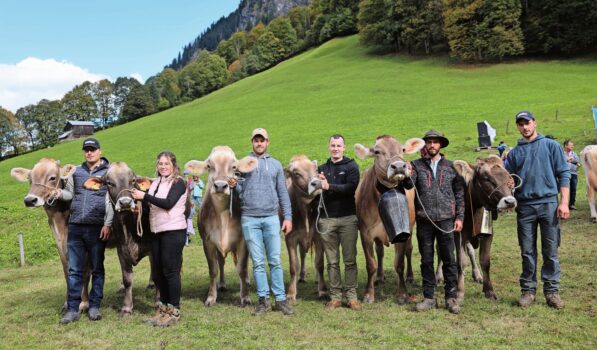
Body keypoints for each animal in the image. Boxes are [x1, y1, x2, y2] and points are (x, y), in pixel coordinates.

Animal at [9, 157, 87, 310]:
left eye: (52, 178)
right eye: (30, 179)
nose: (30, 200)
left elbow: (85, 270)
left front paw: (84, 303)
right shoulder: (60, 244)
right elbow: (66, 269)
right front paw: (68, 302)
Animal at [85, 163, 158, 314]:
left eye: (133, 180)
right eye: (109, 183)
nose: (125, 202)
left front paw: (159, 300)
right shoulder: (122, 251)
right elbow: (127, 279)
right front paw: (126, 307)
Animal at [185, 146, 258, 306]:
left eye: (234, 167)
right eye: (209, 166)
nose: (220, 186)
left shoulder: (243, 240)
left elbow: (242, 268)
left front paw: (245, 297)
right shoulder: (208, 241)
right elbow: (213, 269)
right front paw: (211, 297)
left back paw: (247, 282)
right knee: (222, 262)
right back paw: (223, 284)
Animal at [284, 154, 326, 302]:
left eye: (316, 169)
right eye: (296, 173)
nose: (317, 183)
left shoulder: (319, 237)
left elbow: (319, 263)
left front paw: (322, 290)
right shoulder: (290, 238)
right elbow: (293, 266)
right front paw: (291, 293)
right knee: (302, 255)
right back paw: (301, 276)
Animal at [354, 136, 424, 304]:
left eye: (402, 149)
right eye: (377, 151)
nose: (399, 166)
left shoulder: (402, 232)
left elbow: (399, 264)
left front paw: (403, 294)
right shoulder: (365, 233)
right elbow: (371, 264)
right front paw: (368, 294)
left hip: (410, 228)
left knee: (409, 250)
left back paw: (409, 277)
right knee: (379, 252)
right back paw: (379, 277)